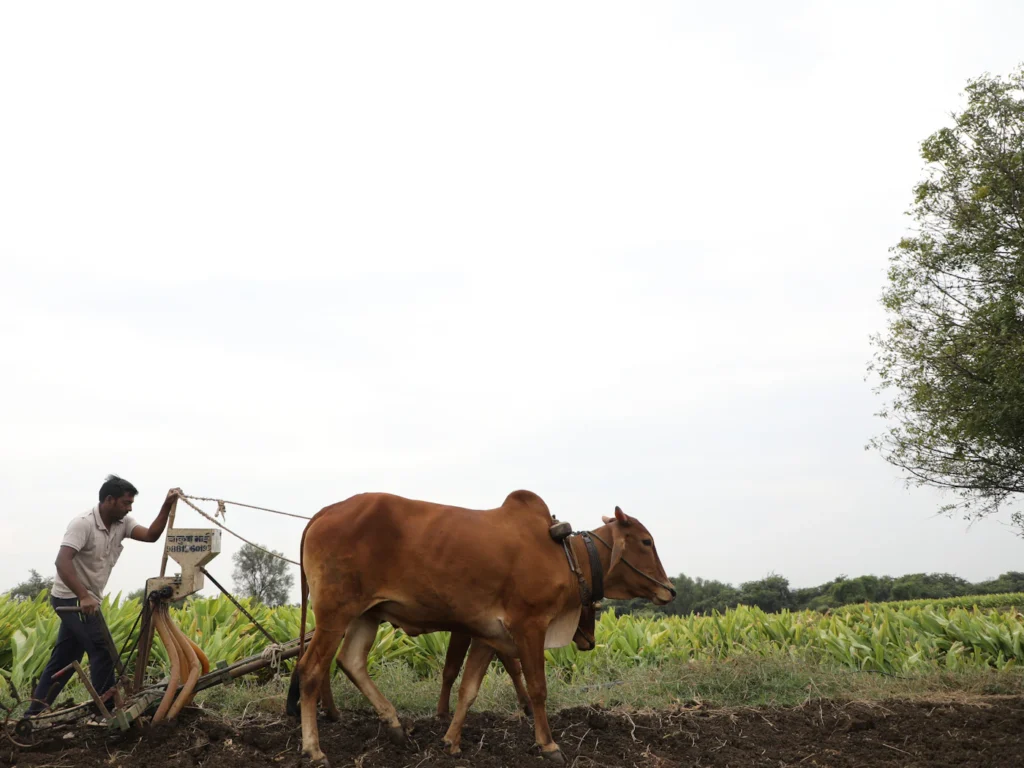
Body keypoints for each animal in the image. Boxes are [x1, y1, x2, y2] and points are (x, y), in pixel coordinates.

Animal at [286, 490, 674, 766]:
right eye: (646, 541)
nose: (668, 590)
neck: (566, 555)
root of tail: (325, 511)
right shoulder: (529, 626)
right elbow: (537, 689)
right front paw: (549, 745)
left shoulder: (490, 636)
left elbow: (468, 689)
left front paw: (451, 741)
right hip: (335, 615)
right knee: (310, 670)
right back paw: (315, 750)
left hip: (367, 614)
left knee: (351, 661)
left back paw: (395, 725)